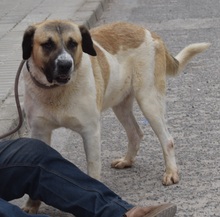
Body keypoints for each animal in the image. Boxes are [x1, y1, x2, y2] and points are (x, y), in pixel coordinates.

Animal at [21, 19, 209, 213]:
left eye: (73, 43)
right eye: (47, 44)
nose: (66, 65)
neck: (55, 92)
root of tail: (149, 32)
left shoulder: (90, 132)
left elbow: (93, 171)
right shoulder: (39, 132)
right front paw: (31, 205)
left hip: (149, 101)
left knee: (167, 140)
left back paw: (171, 172)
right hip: (121, 105)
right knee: (136, 132)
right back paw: (127, 160)